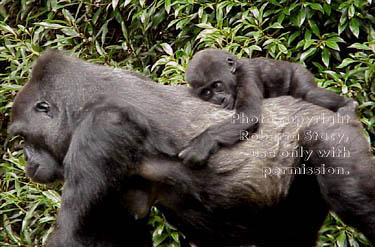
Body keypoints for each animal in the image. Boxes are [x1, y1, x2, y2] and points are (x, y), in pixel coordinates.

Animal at [179, 48, 358, 167]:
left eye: (217, 85)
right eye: (207, 93)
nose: (218, 98)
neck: (236, 72)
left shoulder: (247, 75)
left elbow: (248, 115)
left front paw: (202, 142)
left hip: (299, 71)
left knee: (308, 92)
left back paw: (347, 104)